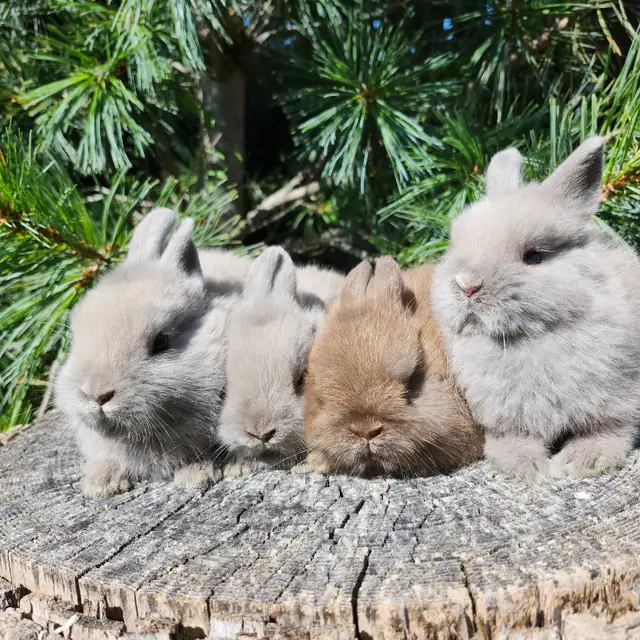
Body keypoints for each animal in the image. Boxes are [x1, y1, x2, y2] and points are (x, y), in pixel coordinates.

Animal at [431, 136, 640, 482]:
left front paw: (580, 463)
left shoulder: (617, 401)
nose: (467, 285)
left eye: (532, 257)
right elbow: (512, 439)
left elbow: (607, 431)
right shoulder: (504, 418)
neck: (529, 339)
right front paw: (525, 467)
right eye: (456, 244)